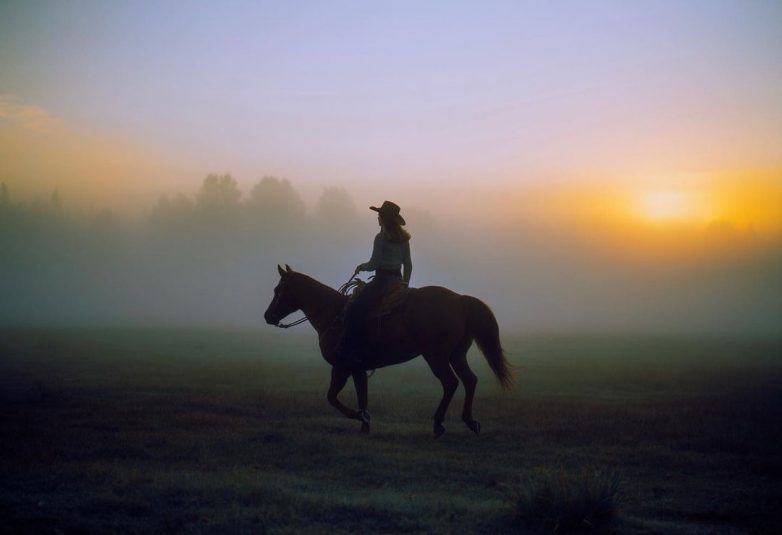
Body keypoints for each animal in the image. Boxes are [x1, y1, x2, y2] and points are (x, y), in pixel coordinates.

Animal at [264, 264, 516, 436]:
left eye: (278, 289)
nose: (268, 316)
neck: (333, 314)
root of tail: (461, 300)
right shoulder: (357, 369)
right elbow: (362, 395)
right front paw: (365, 424)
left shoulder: (341, 366)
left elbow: (332, 397)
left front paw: (357, 416)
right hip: (456, 355)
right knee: (470, 380)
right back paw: (470, 421)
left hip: (436, 357)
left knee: (451, 383)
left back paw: (438, 423)